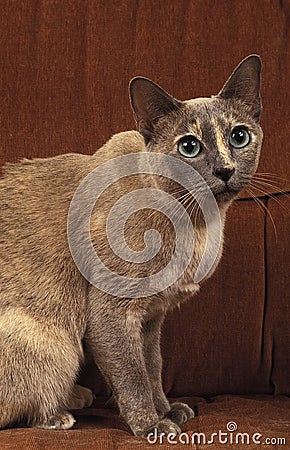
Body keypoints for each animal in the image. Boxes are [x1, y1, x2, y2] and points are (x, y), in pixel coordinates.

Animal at [0, 55, 262, 436]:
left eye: (239, 137)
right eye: (189, 147)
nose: (225, 169)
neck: (198, 224)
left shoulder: (151, 318)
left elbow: (153, 370)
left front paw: (168, 411)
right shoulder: (113, 314)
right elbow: (133, 377)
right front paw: (151, 425)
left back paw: (79, 397)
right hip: (54, 343)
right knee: (25, 407)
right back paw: (60, 414)